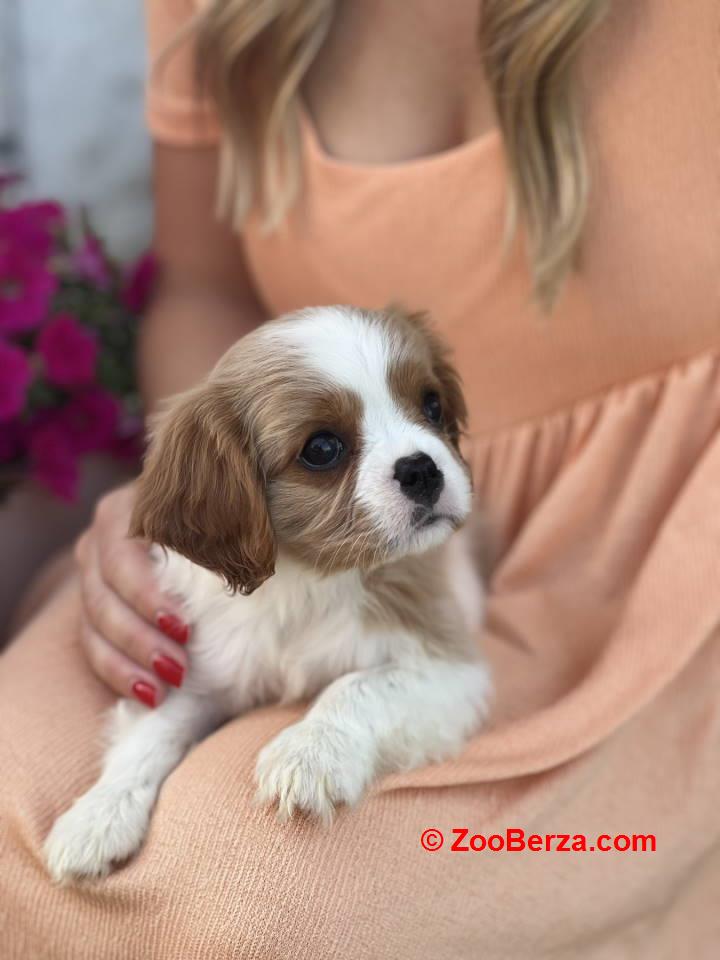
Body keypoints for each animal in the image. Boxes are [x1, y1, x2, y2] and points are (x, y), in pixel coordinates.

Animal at [45, 304, 492, 880]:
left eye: (432, 405)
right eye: (322, 449)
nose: (422, 468)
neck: (310, 580)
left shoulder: (449, 668)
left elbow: (359, 686)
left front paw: (309, 751)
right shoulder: (197, 666)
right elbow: (152, 732)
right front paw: (97, 814)